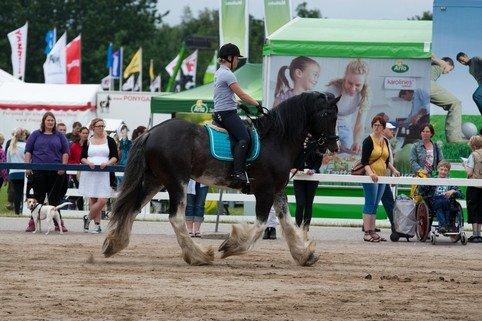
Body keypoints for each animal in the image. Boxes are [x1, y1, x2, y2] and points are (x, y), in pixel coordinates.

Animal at [102, 92, 338, 264]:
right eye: (329, 115)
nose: (334, 145)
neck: (276, 139)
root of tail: (151, 132)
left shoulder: (277, 189)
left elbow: (287, 223)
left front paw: (304, 255)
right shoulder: (265, 190)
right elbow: (260, 226)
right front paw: (230, 246)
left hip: (154, 181)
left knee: (132, 209)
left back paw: (114, 244)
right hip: (177, 182)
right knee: (176, 218)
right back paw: (199, 256)